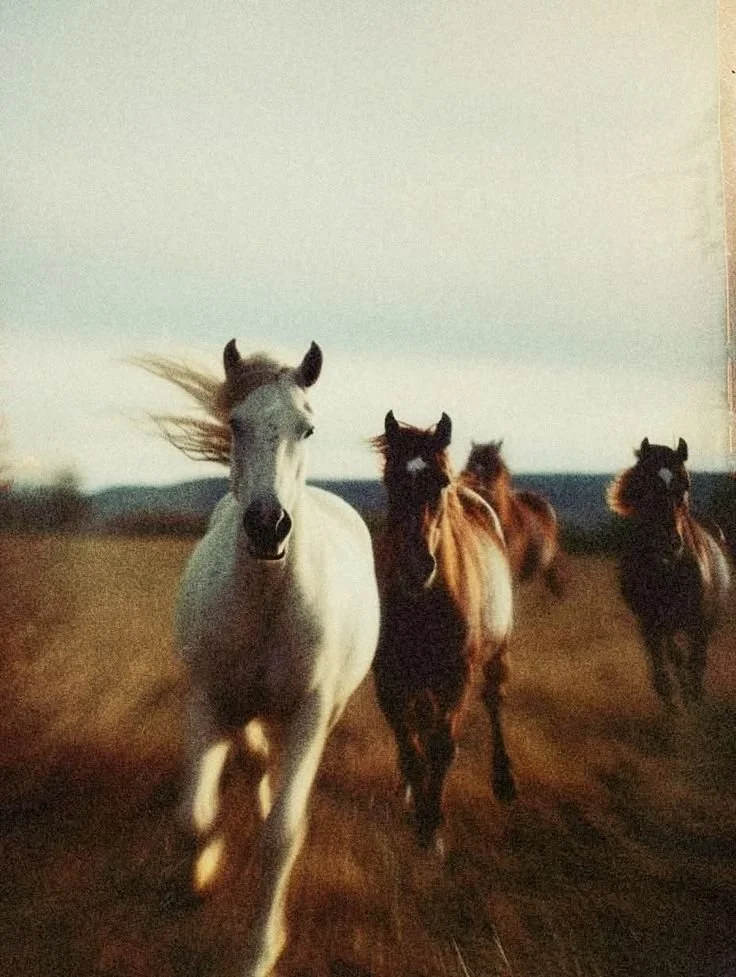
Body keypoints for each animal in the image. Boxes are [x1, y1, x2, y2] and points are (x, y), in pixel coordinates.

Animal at [136, 340, 380, 977]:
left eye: (308, 426)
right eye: (235, 423)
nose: (269, 526)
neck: (270, 599)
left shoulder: (309, 716)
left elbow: (281, 835)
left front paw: (261, 950)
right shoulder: (208, 700)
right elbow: (195, 813)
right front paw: (202, 871)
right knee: (250, 754)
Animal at [371, 411, 515, 851]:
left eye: (440, 482)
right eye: (390, 480)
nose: (417, 568)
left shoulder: (456, 678)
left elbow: (441, 747)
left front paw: (432, 824)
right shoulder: (388, 680)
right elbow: (409, 745)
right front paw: (418, 804)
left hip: (497, 654)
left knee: (494, 701)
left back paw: (504, 780)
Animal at [607, 437, 731, 710]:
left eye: (685, 483)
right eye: (647, 483)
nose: (670, 543)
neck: (666, 570)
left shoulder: (696, 619)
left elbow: (691, 662)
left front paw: (691, 701)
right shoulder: (650, 620)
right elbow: (665, 661)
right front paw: (672, 703)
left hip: (703, 621)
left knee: (697, 658)